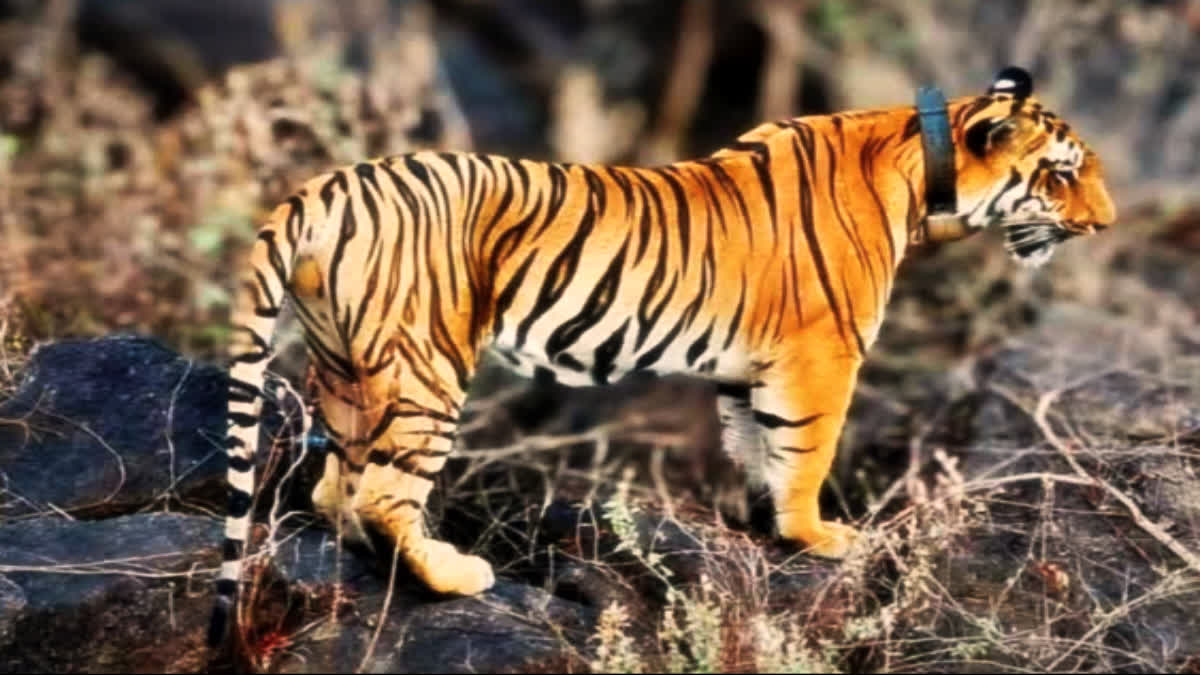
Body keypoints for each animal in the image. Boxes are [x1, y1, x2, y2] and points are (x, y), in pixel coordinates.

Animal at [208, 66, 1115, 644]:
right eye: (1062, 175)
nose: (1105, 223)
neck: (921, 172)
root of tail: (328, 185)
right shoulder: (822, 354)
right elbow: (809, 449)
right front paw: (819, 535)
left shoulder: (749, 369)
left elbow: (758, 445)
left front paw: (760, 524)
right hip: (425, 363)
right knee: (385, 492)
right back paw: (455, 574)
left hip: (343, 364)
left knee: (336, 485)